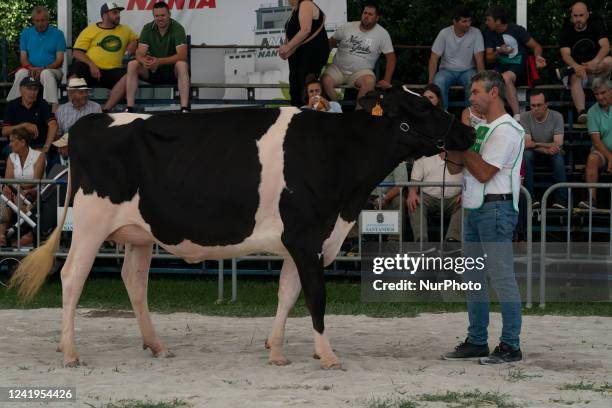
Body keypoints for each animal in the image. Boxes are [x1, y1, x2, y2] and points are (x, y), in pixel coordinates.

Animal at [11, 85, 476, 366]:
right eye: (422, 106)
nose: (468, 134)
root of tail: (91, 121)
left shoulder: (305, 241)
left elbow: (287, 294)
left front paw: (277, 350)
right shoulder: (307, 237)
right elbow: (316, 297)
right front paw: (327, 355)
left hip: (139, 233)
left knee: (134, 280)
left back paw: (156, 345)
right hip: (90, 223)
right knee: (73, 277)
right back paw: (70, 352)